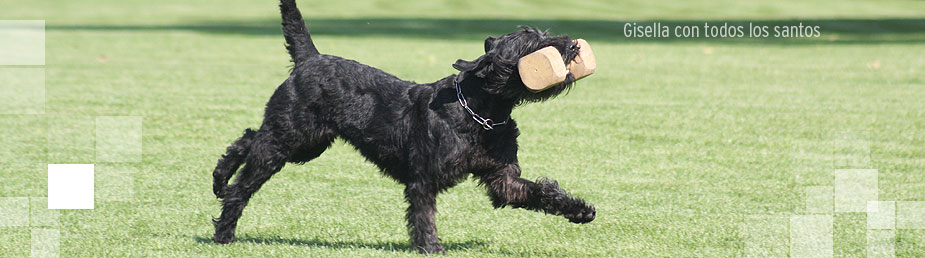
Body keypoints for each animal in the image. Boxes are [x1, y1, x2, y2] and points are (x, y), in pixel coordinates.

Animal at [212, 0, 596, 254]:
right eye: (533, 44)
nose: (572, 45)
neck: (479, 112)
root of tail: (310, 58)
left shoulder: (503, 178)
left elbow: (539, 192)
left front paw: (580, 210)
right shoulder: (423, 179)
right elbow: (424, 216)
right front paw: (431, 248)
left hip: (305, 143)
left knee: (247, 139)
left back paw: (219, 179)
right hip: (288, 140)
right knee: (244, 182)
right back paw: (224, 230)